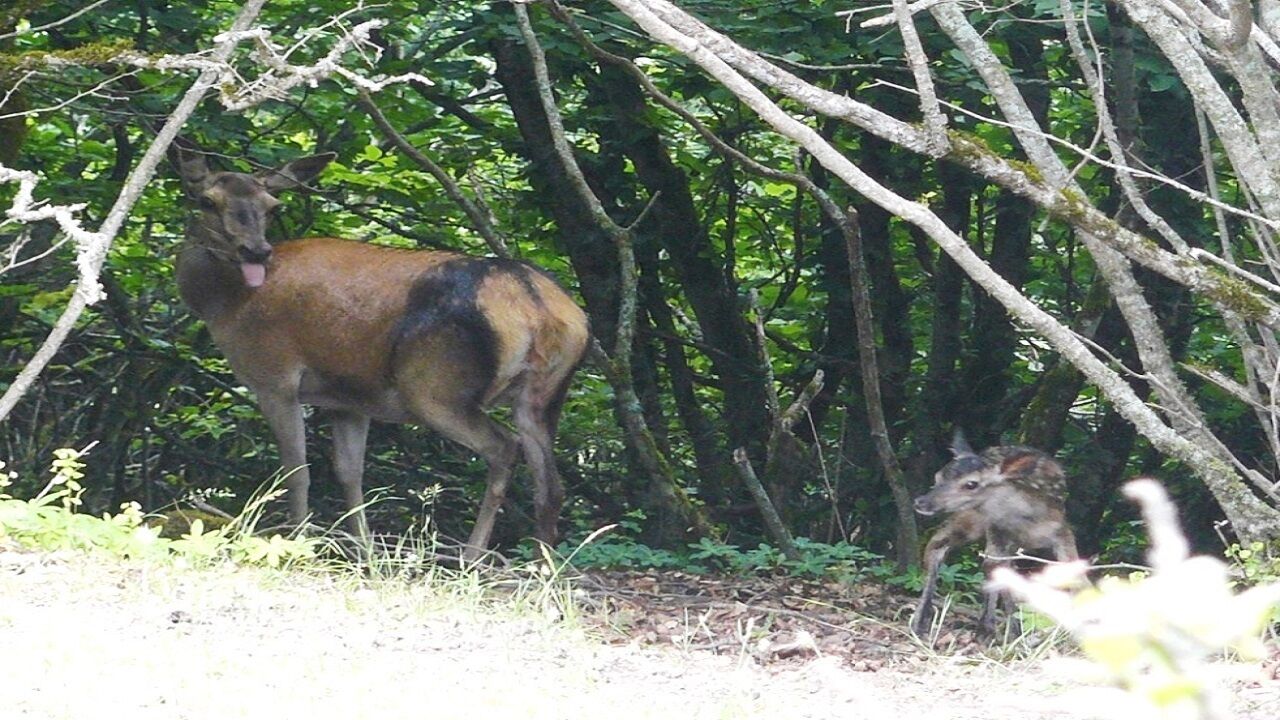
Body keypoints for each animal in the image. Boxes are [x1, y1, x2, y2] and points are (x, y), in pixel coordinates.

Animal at [172, 148, 586, 558]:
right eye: (206, 201)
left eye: (273, 206)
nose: (255, 251)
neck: (224, 303)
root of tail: (537, 307)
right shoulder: (347, 397)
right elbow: (349, 472)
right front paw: (364, 550)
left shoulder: (274, 376)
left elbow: (297, 471)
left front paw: (298, 543)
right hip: (544, 393)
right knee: (552, 486)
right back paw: (540, 564)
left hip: (434, 385)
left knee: (503, 448)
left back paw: (472, 556)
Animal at [911, 430, 1080, 632]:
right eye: (937, 476)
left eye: (971, 484)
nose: (921, 502)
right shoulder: (998, 531)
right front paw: (1013, 632)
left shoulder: (1062, 529)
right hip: (971, 519)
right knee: (938, 545)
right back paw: (923, 621)